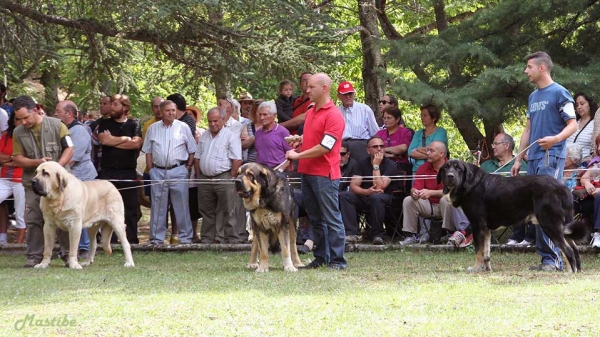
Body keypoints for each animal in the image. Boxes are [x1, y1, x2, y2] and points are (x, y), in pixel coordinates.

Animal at [436, 159, 584, 272]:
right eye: (446, 168)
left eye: (458, 169)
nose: (450, 176)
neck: (471, 184)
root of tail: (562, 187)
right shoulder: (486, 229)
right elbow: (486, 254)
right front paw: (487, 270)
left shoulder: (477, 226)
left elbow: (479, 251)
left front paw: (476, 268)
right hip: (564, 226)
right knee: (575, 249)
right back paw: (577, 271)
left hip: (550, 224)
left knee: (568, 250)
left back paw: (570, 272)